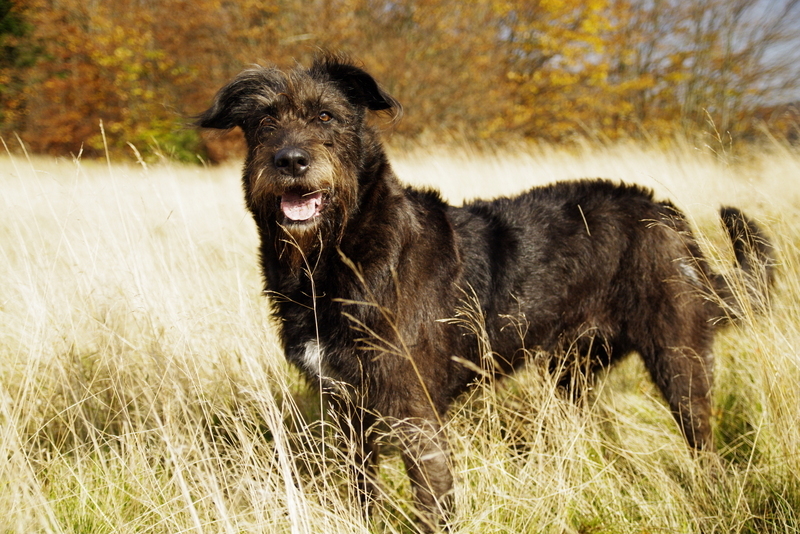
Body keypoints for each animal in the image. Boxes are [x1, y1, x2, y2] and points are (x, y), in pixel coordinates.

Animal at [195, 53, 776, 532]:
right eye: (264, 122)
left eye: (326, 117)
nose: (291, 160)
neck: (333, 257)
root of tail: (667, 213)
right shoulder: (347, 410)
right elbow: (363, 494)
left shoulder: (413, 412)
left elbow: (433, 506)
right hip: (572, 373)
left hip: (679, 362)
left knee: (704, 444)